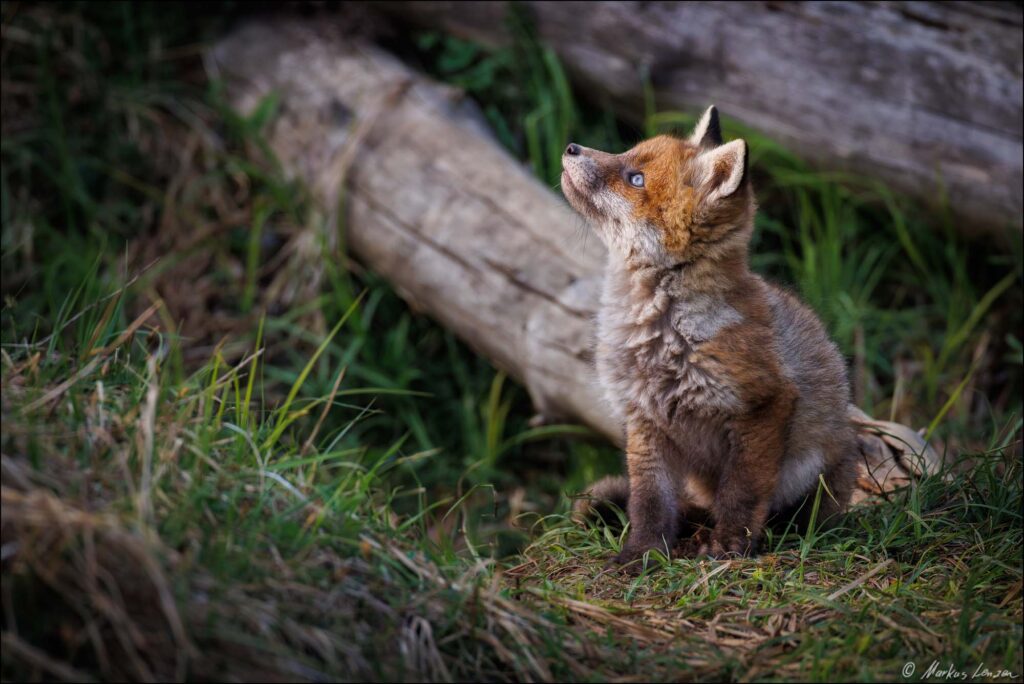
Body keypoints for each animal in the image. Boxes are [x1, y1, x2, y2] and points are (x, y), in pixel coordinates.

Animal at [565, 105, 860, 565]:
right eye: (626, 155)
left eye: (635, 179)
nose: (570, 147)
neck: (665, 335)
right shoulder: (645, 420)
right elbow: (648, 502)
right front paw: (643, 553)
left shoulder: (764, 405)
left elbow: (742, 492)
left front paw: (729, 545)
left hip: (814, 475)